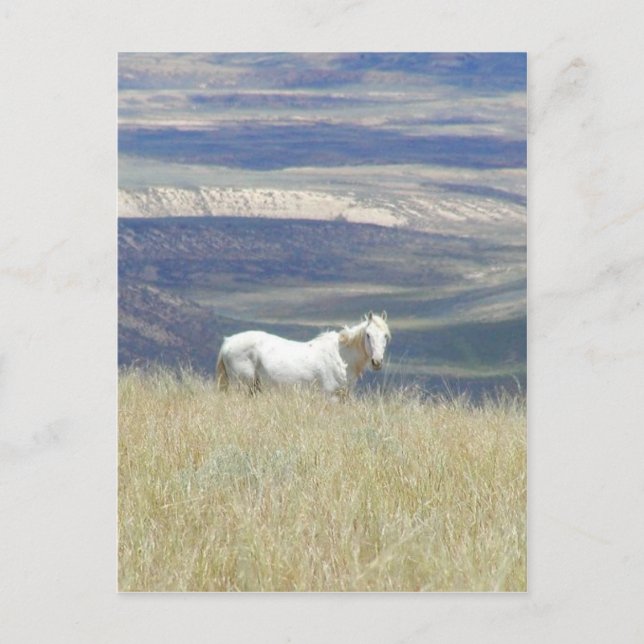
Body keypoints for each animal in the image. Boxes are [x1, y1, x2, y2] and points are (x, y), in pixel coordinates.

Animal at [215, 311, 391, 397]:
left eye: (385, 336)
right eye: (368, 334)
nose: (377, 361)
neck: (341, 358)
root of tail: (227, 342)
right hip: (241, 386)